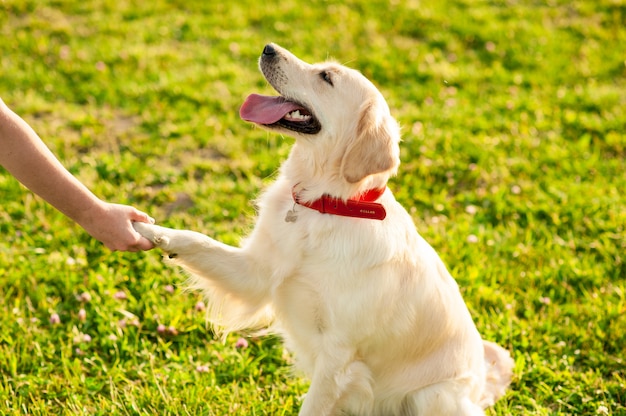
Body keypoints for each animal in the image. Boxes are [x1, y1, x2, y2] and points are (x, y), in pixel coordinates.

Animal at [133, 44, 512, 414]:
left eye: (326, 77)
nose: (268, 48)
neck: (322, 204)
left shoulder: (339, 355)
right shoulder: (256, 273)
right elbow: (198, 242)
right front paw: (143, 227)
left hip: (432, 395)